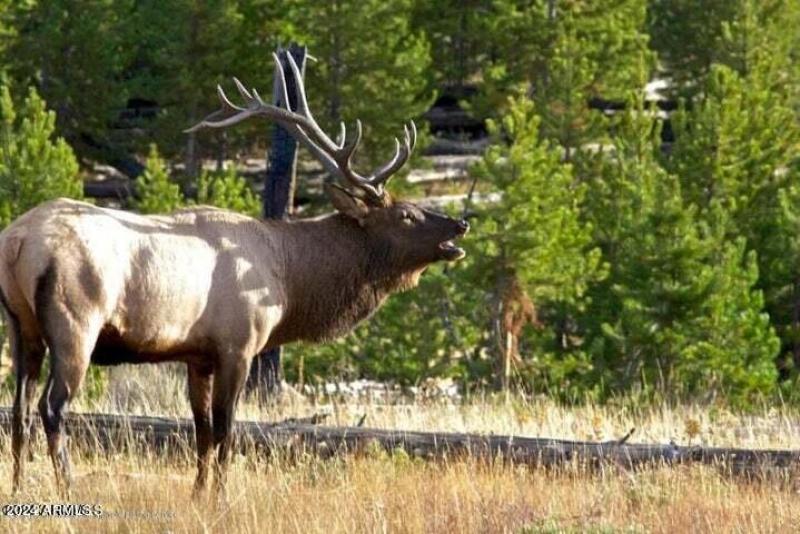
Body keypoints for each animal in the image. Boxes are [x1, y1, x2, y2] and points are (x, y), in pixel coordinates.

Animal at [0, 53, 468, 497]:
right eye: (406, 215)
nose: (460, 225)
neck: (290, 280)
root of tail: (18, 240)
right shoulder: (238, 345)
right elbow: (227, 430)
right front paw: (221, 497)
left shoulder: (197, 355)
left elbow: (202, 432)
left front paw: (198, 495)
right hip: (75, 324)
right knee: (51, 407)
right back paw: (67, 486)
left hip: (21, 327)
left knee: (18, 408)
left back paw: (19, 486)